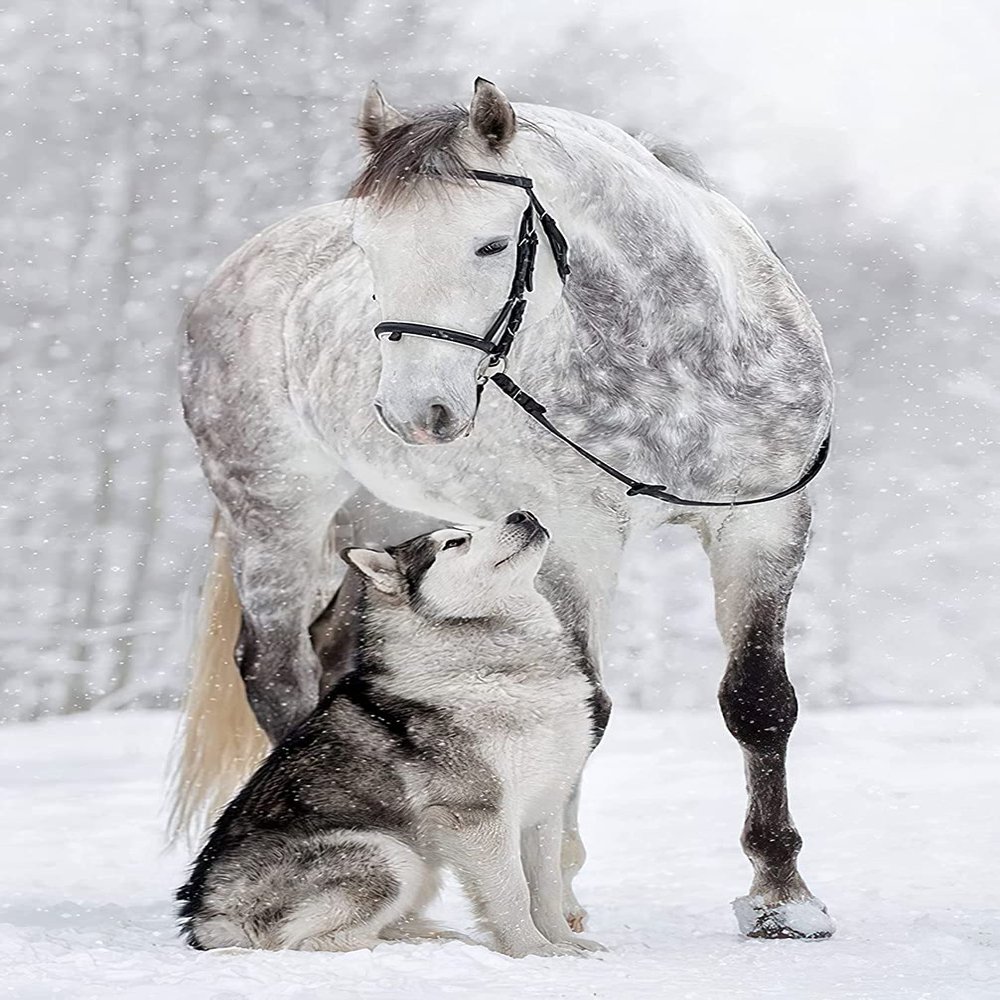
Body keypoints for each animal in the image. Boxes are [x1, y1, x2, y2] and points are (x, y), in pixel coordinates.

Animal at [177, 511, 611, 957]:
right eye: (455, 543)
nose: (522, 514)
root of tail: (206, 917)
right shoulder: (478, 813)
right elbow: (513, 893)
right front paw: (534, 951)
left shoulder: (545, 806)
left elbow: (546, 887)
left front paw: (564, 942)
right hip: (391, 854)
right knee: (312, 942)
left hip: (415, 864)